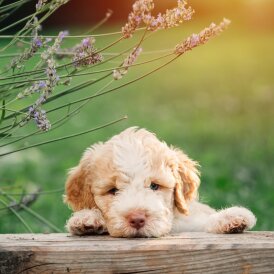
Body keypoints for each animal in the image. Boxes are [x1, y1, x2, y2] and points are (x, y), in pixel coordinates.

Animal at [63, 127, 256, 237]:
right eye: (113, 190)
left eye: (154, 186)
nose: (137, 219)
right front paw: (87, 219)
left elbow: (200, 222)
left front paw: (230, 217)